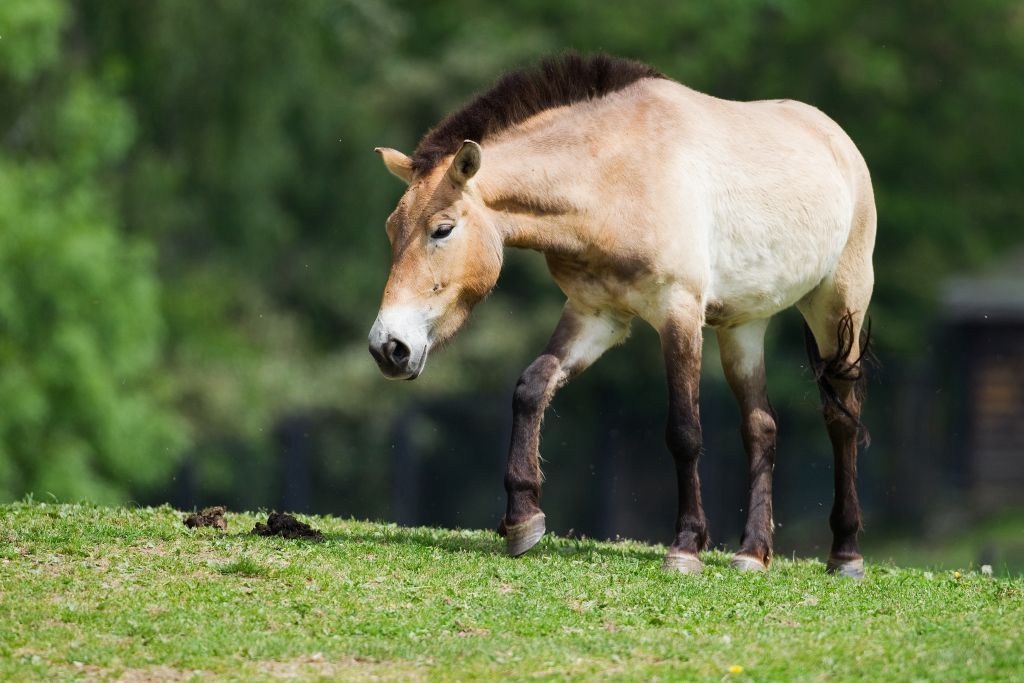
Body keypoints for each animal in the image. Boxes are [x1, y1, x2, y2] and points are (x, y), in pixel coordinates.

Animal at [372, 54, 876, 577]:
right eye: (391, 229)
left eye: (442, 229)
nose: (388, 347)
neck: (612, 179)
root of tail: (835, 137)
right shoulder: (596, 315)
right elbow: (531, 388)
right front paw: (522, 520)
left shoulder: (678, 311)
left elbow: (684, 431)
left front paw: (685, 547)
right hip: (743, 326)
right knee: (761, 428)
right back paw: (752, 553)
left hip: (839, 306)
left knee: (842, 419)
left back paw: (845, 554)